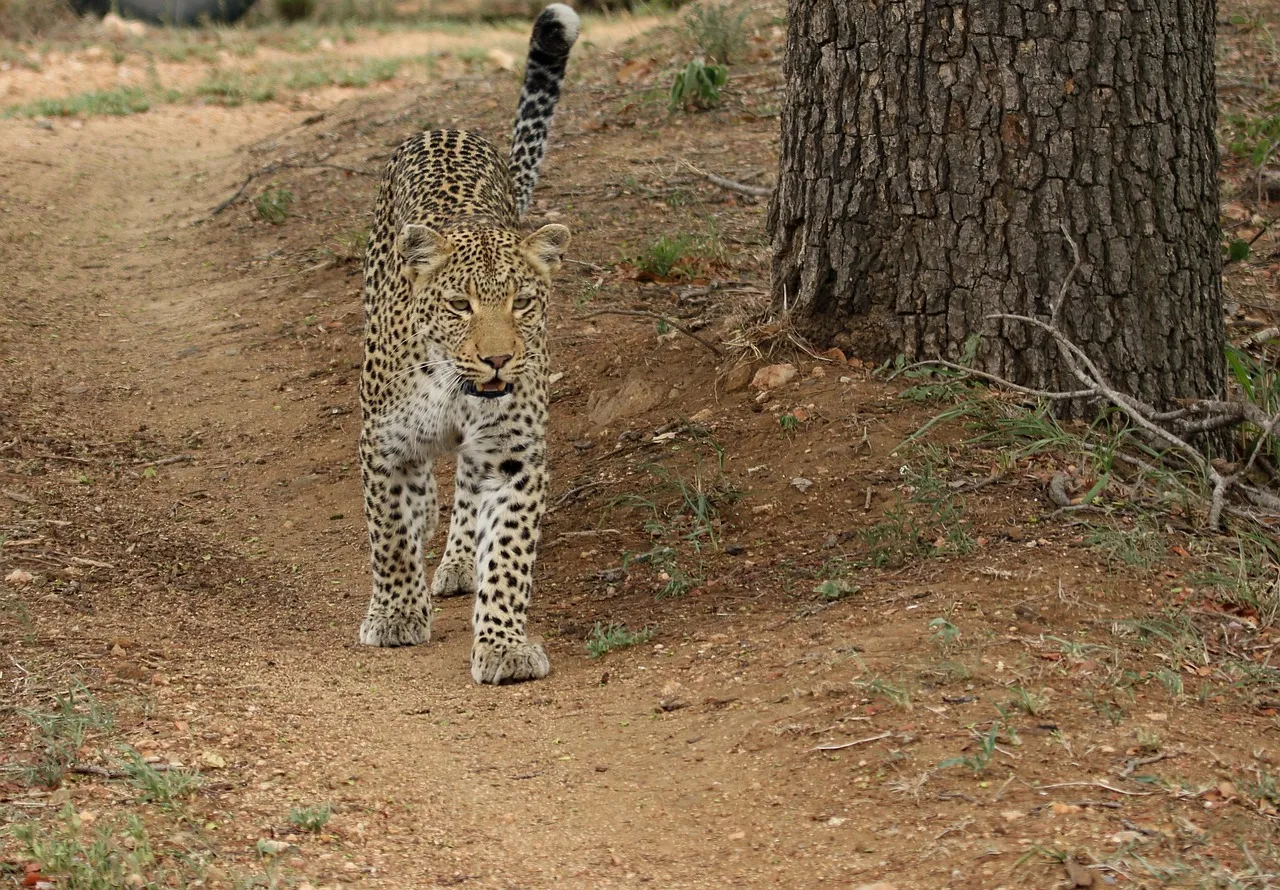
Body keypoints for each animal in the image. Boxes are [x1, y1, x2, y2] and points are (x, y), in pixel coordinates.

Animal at [356, 3, 579, 684]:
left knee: (464, 490)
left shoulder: (513, 457)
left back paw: (457, 559)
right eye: (460, 306)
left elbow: (507, 555)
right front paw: (397, 614)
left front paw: (503, 644)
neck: (454, 387)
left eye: (523, 303)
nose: (498, 358)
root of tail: (446, 126)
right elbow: (390, 538)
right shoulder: (384, 443)